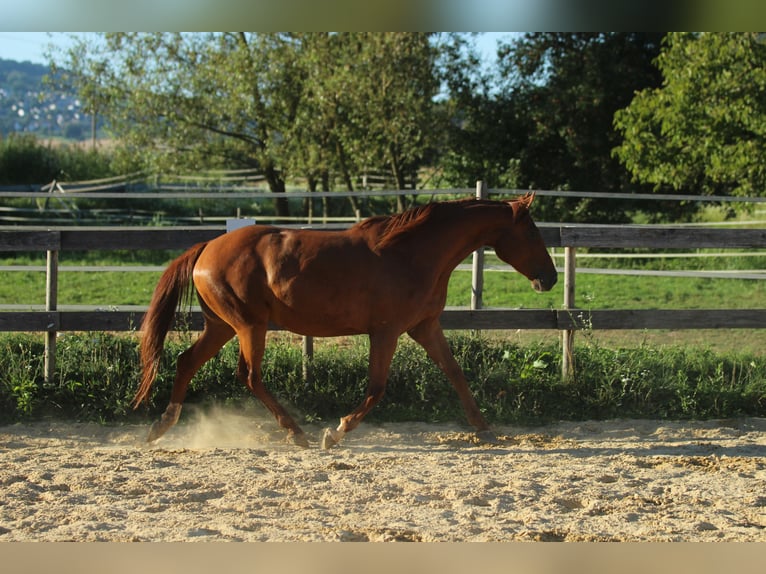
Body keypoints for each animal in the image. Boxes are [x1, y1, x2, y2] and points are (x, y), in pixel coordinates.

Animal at [134, 197, 560, 450]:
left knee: (187, 361)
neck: (412, 253)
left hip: (222, 326)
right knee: (250, 375)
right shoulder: (386, 331)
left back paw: (162, 426)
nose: (550, 278)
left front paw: (484, 427)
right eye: (532, 231)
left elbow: (455, 372)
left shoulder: (425, 326)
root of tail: (207, 247)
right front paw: (335, 431)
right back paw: (298, 433)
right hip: (249, 326)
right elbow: (377, 388)